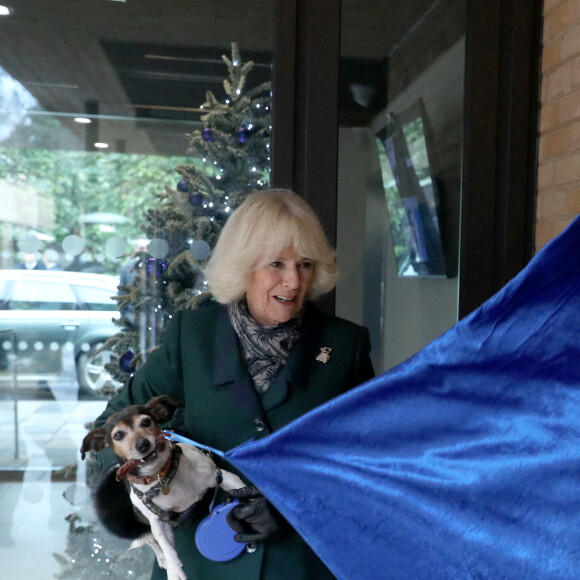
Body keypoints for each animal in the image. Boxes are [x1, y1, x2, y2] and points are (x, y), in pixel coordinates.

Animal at [80, 394, 244, 580]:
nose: (143, 444)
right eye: (118, 435)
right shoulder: (158, 522)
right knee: (150, 538)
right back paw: (162, 558)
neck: (163, 477)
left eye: (145, 422)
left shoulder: (222, 476)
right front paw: (173, 568)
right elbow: (165, 544)